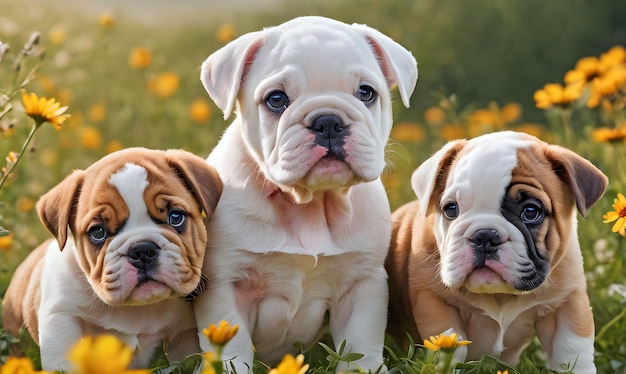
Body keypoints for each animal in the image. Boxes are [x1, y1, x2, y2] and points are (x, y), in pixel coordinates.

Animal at [197, 16, 416, 372]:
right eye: (276, 99)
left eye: (366, 93)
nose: (327, 121)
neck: (312, 203)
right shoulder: (224, 285)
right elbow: (232, 348)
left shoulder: (362, 284)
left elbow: (361, 343)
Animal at [386, 130, 604, 372]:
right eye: (451, 209)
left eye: (531, 211)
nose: (485, 236)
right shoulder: (434, 302)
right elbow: (449, 344)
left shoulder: (567, 304)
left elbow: (572, 350)